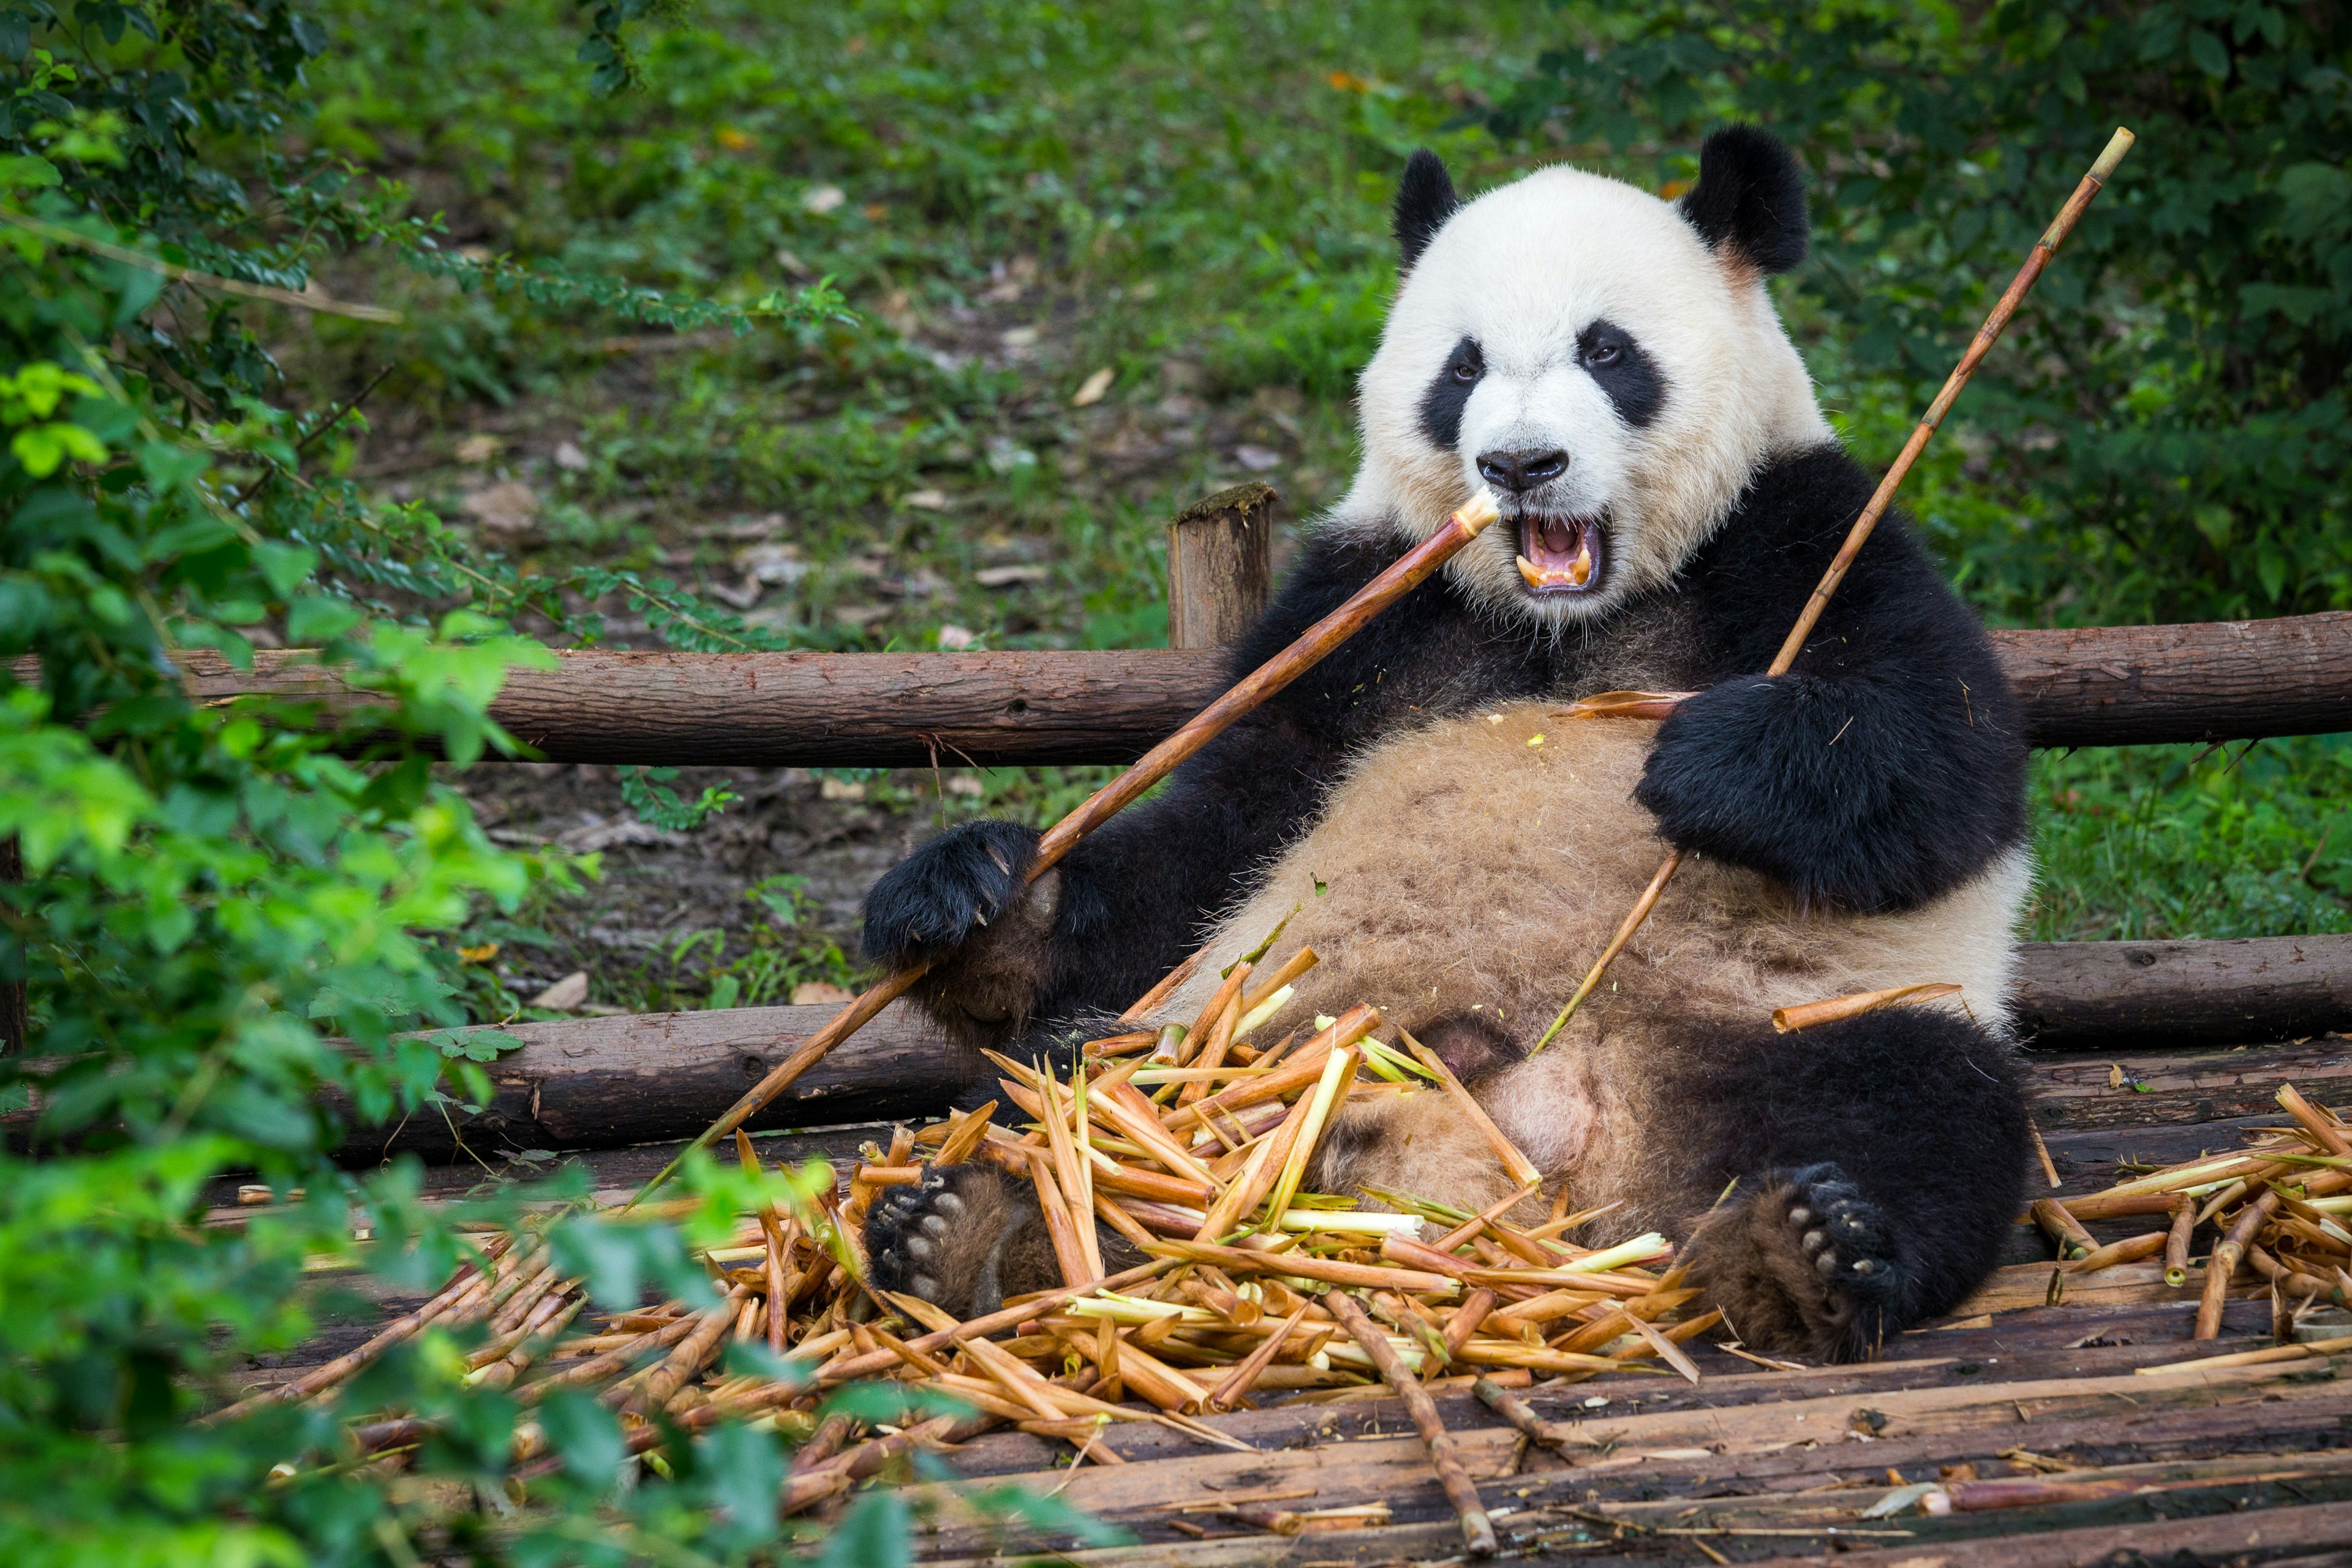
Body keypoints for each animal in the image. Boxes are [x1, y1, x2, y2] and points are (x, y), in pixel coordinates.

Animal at [856, 129, 2032, 1363]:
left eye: (1607, 350)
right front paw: (971, 899)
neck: (1565, 621)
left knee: (1918, 1102)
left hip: (1779, 1021)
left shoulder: (1804, 526)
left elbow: (1944, 758)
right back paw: (970, 1232)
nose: (1520, 465)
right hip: (1229, 1040)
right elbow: (1219, 832)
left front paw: (1701, 763)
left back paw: (1809, 1252)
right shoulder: (1362, 608)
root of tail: (1527, 1142)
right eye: (1461, 369)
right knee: (1053, 1093)